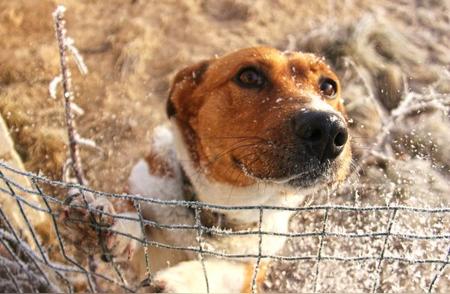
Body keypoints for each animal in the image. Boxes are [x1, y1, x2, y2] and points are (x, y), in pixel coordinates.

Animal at [109, 47, 352, 292]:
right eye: (249, 76)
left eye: (328, 86)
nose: (329, 129)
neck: (222, 214)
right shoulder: (143, 179)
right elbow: (125, 200)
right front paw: (123, 226)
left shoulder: (257, 265)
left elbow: (230, 270)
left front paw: (182, 280)